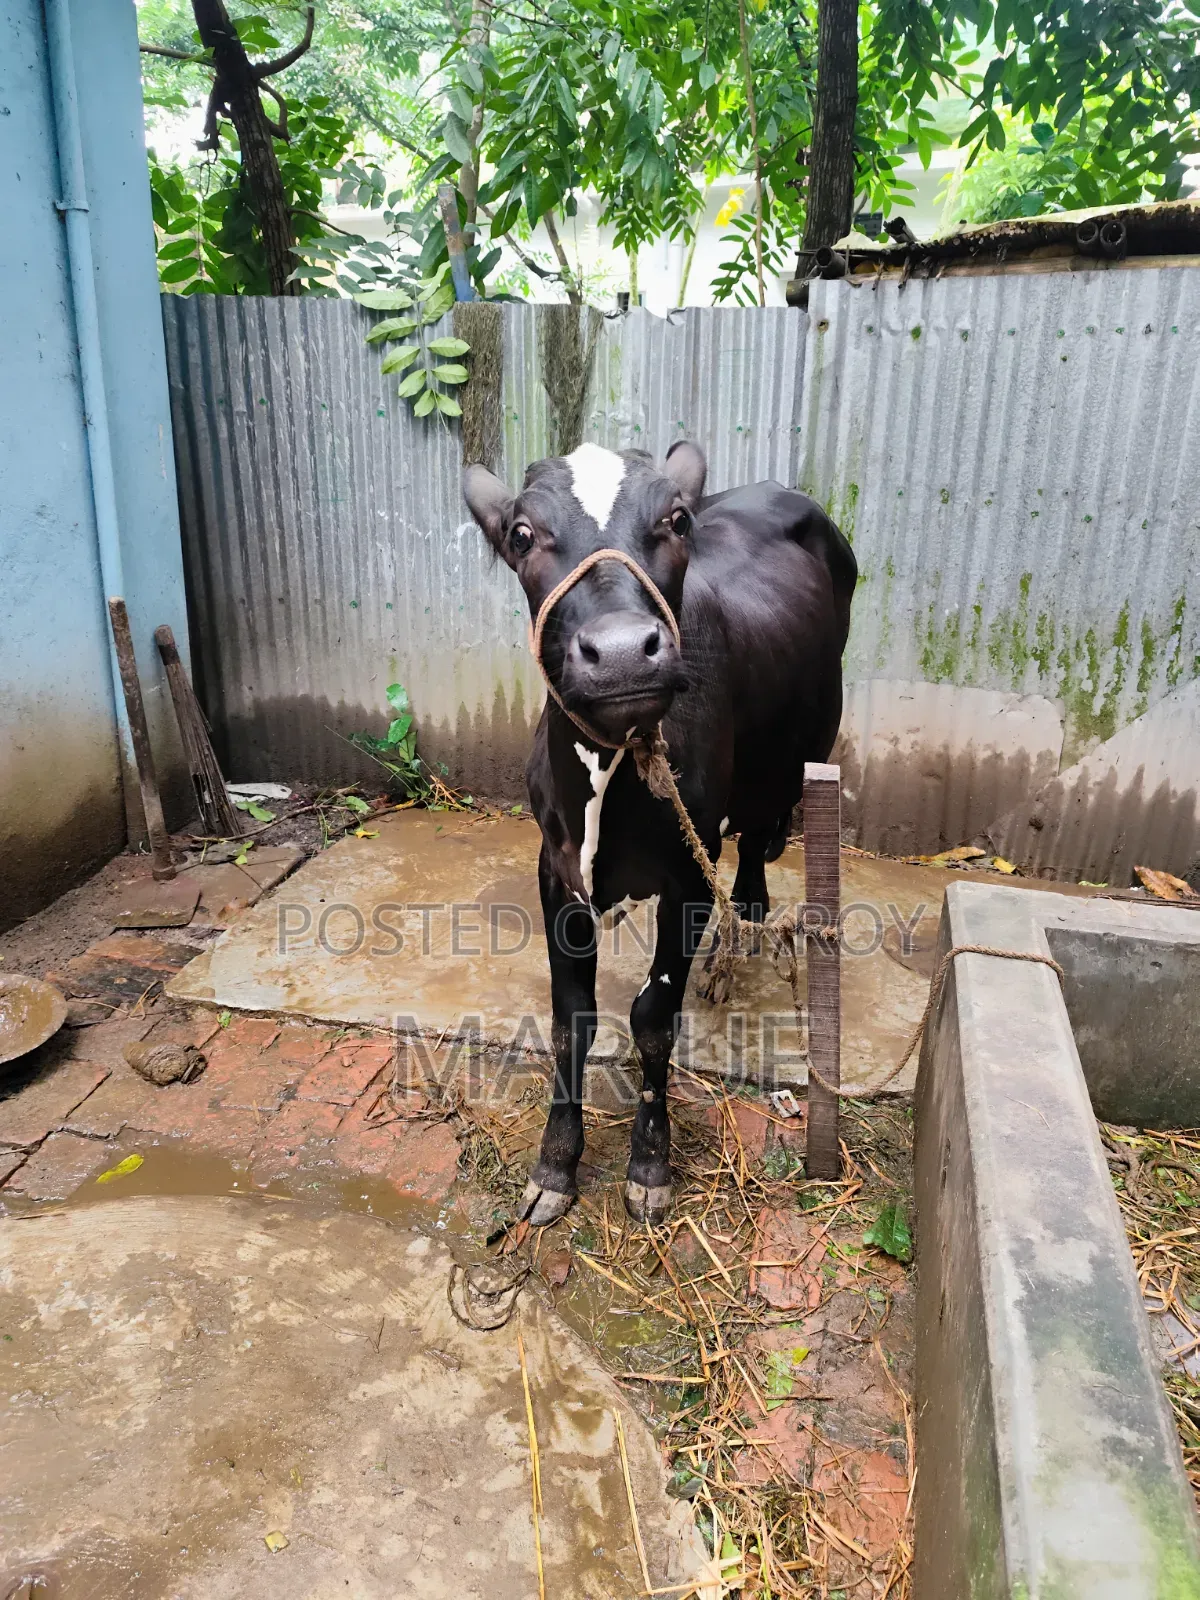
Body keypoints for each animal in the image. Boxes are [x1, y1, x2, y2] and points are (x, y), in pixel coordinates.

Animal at [462, 441, 856, 1226]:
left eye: (675, 519)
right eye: (521, 534)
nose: (619, 652)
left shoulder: (685, 880)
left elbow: (651, 1018)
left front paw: (649, 1161)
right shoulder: (557, 871)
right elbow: (570, 1019)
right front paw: (555, 1165)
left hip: (803, 750)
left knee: (757, 830)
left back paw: (747, 916)